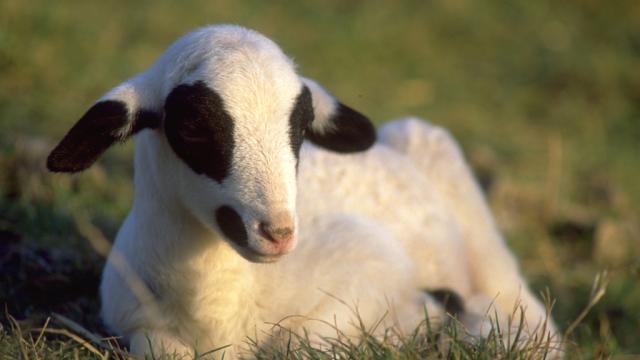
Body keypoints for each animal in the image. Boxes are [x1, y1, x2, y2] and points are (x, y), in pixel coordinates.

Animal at [46, 24, 556, 358]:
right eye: (191, 127)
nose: (278, 233)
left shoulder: (368, 268)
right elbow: (161, 348)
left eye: (301, 127)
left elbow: (299, 341)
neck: (217, 306)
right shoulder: (135, 320)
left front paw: (422, 322)